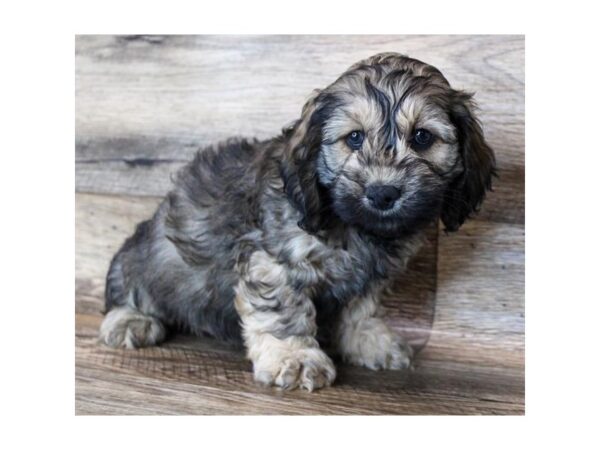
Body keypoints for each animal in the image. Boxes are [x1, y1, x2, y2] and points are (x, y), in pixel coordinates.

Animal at [99, 52, 496, 390]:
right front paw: (296, 357)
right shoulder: (273, 262)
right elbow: (282, 312)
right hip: (146, 257)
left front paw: (370, 340)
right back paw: (130, 320)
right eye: (354, 138)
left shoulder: (368, 278)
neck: (352, 226)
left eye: (422, 137)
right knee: (129, 287)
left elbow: (362, 308)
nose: (383, 193)